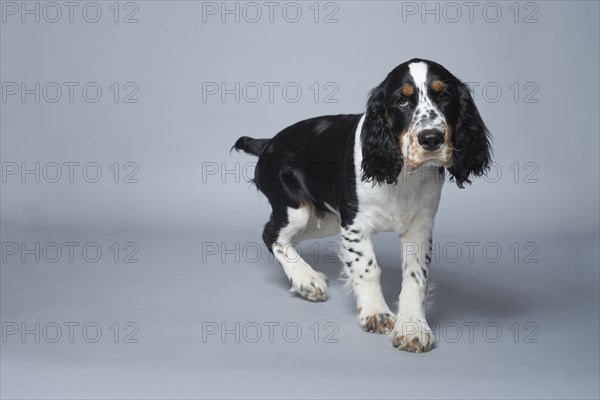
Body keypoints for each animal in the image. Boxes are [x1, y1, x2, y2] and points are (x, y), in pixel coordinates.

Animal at [232, 57, 490, 352]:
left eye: (445, 96)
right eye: (402, 100)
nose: (431, 138)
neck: (401, 173)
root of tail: (268, 143)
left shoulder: (420, 226)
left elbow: (415, 275)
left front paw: (412, 327)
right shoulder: (355, 223)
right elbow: (367, 267)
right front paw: (376, 313)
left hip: (325, 221)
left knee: (287, 238)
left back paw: (308, 275)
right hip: (298, 210)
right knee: (272, 235)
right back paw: (306, 280)